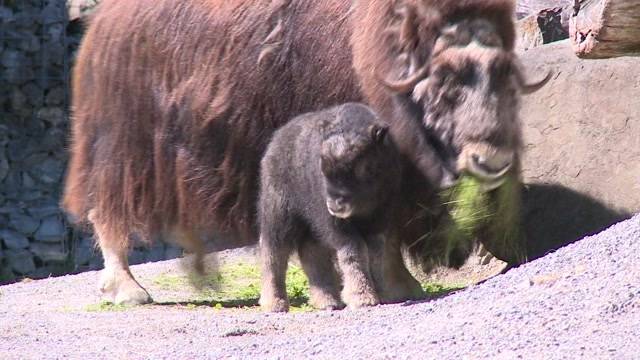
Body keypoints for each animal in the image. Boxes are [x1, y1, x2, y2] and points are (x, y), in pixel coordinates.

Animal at [258, 102, 400, 310]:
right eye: (322, 166)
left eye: (360, 166)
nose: (334, 205)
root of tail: (276, 139)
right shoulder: (335, 224)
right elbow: (354, 250)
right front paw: (361, 296)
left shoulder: (379, 219)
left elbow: (375, 253)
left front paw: (382, 292)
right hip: (278, 212)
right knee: (274, 251)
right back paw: (274, 303)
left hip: (311, 228)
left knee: (312, 253)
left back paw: (327, 300)